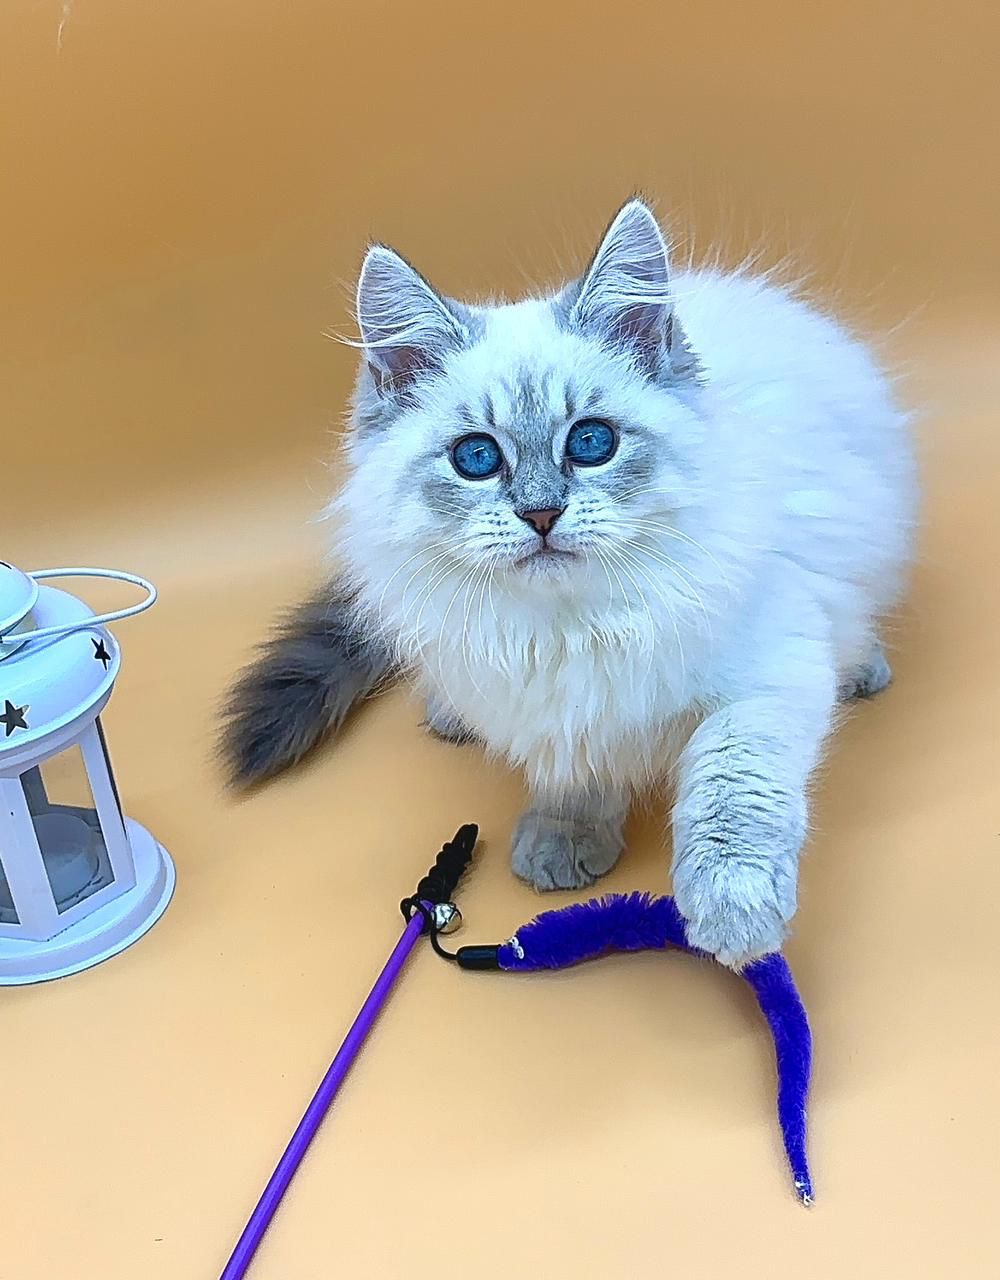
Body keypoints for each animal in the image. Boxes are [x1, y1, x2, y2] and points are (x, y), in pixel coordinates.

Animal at [221, 198, 917, 967]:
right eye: (475, 458)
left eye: (591, 443)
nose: (541, 513)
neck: (567, 629)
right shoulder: (549, 709)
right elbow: (575, 777)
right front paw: (567, 840)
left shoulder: (769, 672)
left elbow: (731, 787)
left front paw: (732, 913)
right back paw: (450, 713)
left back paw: (865, 670)